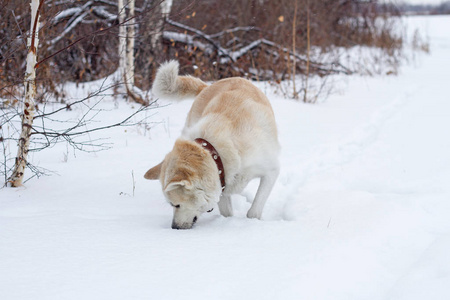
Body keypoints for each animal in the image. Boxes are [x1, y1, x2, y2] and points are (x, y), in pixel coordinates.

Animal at [145, 61, 278, 230]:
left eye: (176, 205)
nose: (174, 227)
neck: (215, 150)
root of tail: (208, 86)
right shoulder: (221, 183)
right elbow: (227, 212)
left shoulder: (271, 171)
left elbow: (254, 210)